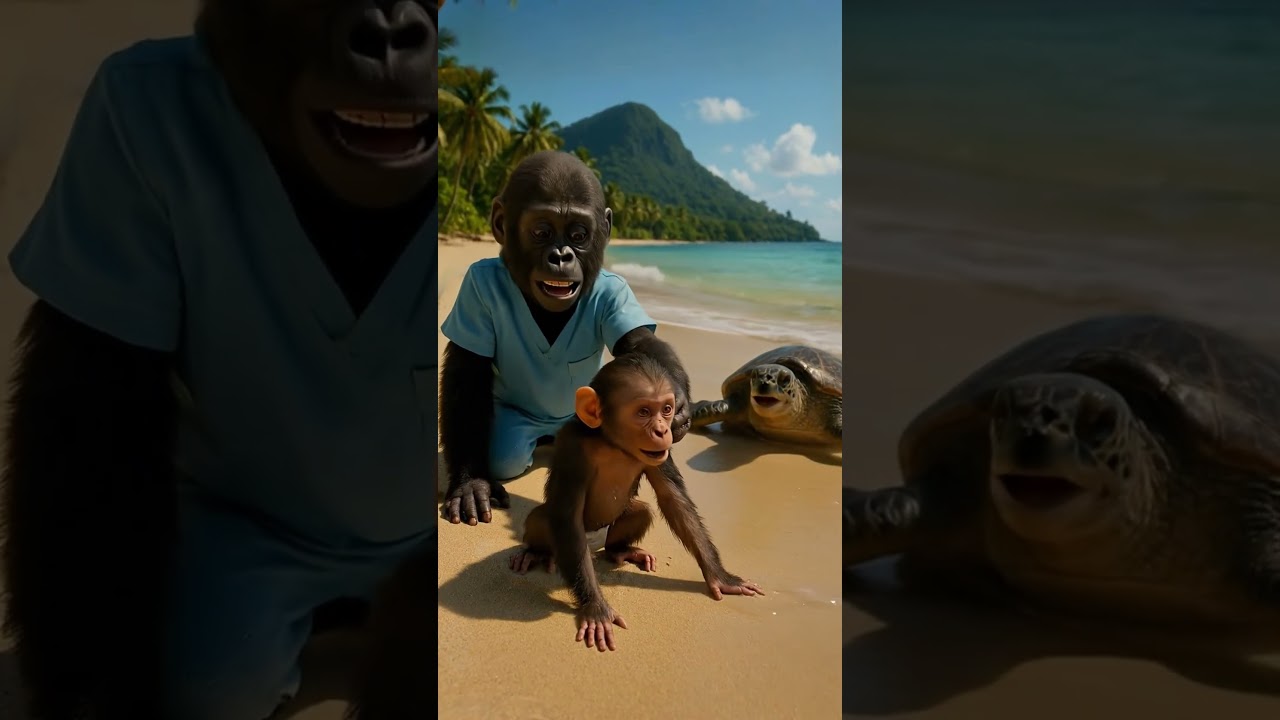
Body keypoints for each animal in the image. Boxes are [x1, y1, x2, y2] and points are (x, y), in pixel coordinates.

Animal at [439, 150, 693, 527]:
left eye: (578, 234)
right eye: (542, 231)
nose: (561, 255)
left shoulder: (615, 291)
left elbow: (639, 343)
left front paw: (677, 399)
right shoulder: (474, 286)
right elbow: (467, 373)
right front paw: (471, 482)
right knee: (507, 450)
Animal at [509, 353, 762, 652]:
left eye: (667, 409)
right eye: (643, 412)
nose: (662, 429)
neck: (612, 443)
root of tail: (595, 543)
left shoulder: (661, 453)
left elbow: (674, 500)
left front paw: (720, 577)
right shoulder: (572, 446)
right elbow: (567, 516)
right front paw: (596, 608)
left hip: (612, 532)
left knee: (640, 513)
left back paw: (623, 551)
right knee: (543, 519)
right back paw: (537, 553)